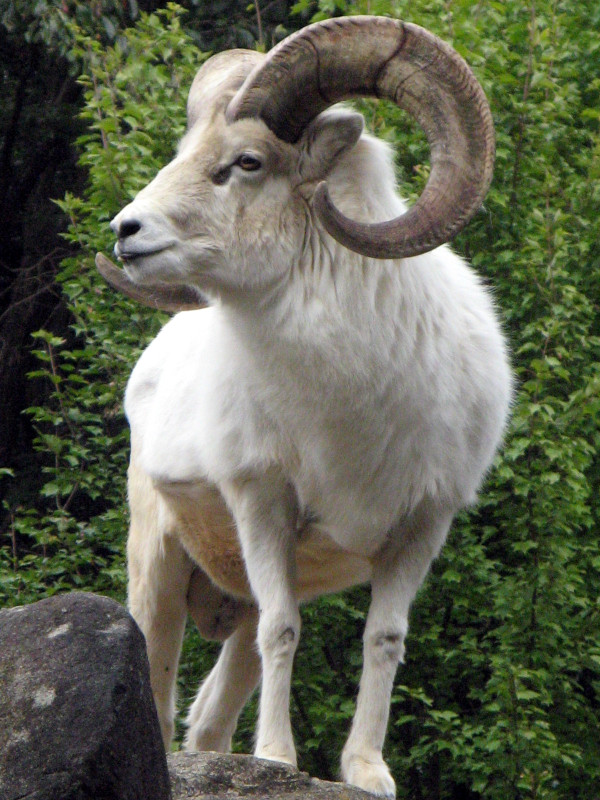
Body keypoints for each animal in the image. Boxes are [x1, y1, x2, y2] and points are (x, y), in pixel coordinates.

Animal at [98, 16, 512, 798]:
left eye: (247, 161)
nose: (127, 232)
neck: (352, 408)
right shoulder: (264, 504)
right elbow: (285, 630)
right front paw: (278, 760)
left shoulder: (420, 526)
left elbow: (384, 639)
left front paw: (367, 772)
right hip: (158, 565)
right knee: (165, 698)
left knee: (207, 719)